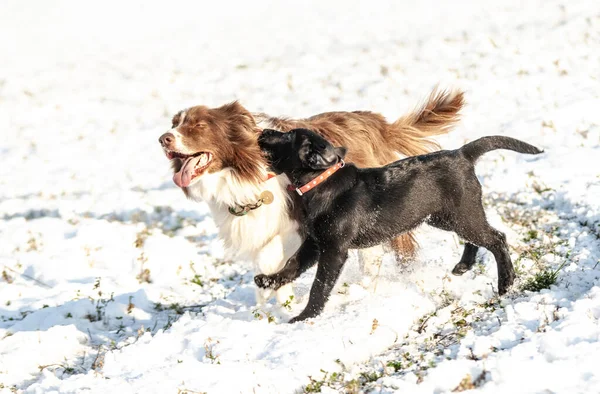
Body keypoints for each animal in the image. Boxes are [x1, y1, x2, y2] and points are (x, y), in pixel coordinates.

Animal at [159, 88, 464, 304]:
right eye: (175, 123)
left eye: (199, 126)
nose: (164, 139)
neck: (244, 172)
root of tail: (374, 120)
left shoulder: (299, 220)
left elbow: (274, 255)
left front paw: (279, 296)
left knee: (396, 247)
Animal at [253, 127, 544, 322]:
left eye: (288, 136)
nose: (264, 130)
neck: (320, 184)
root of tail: (462, 154)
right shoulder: (314, 244)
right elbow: (291, 265)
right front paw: (268, 280)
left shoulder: (333, 250)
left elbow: (319, 285)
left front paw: (306, 317)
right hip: (448, 216)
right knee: (477, 239)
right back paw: (463, 267)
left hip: (461, 215)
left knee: (496, 239)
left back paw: (506, 283)